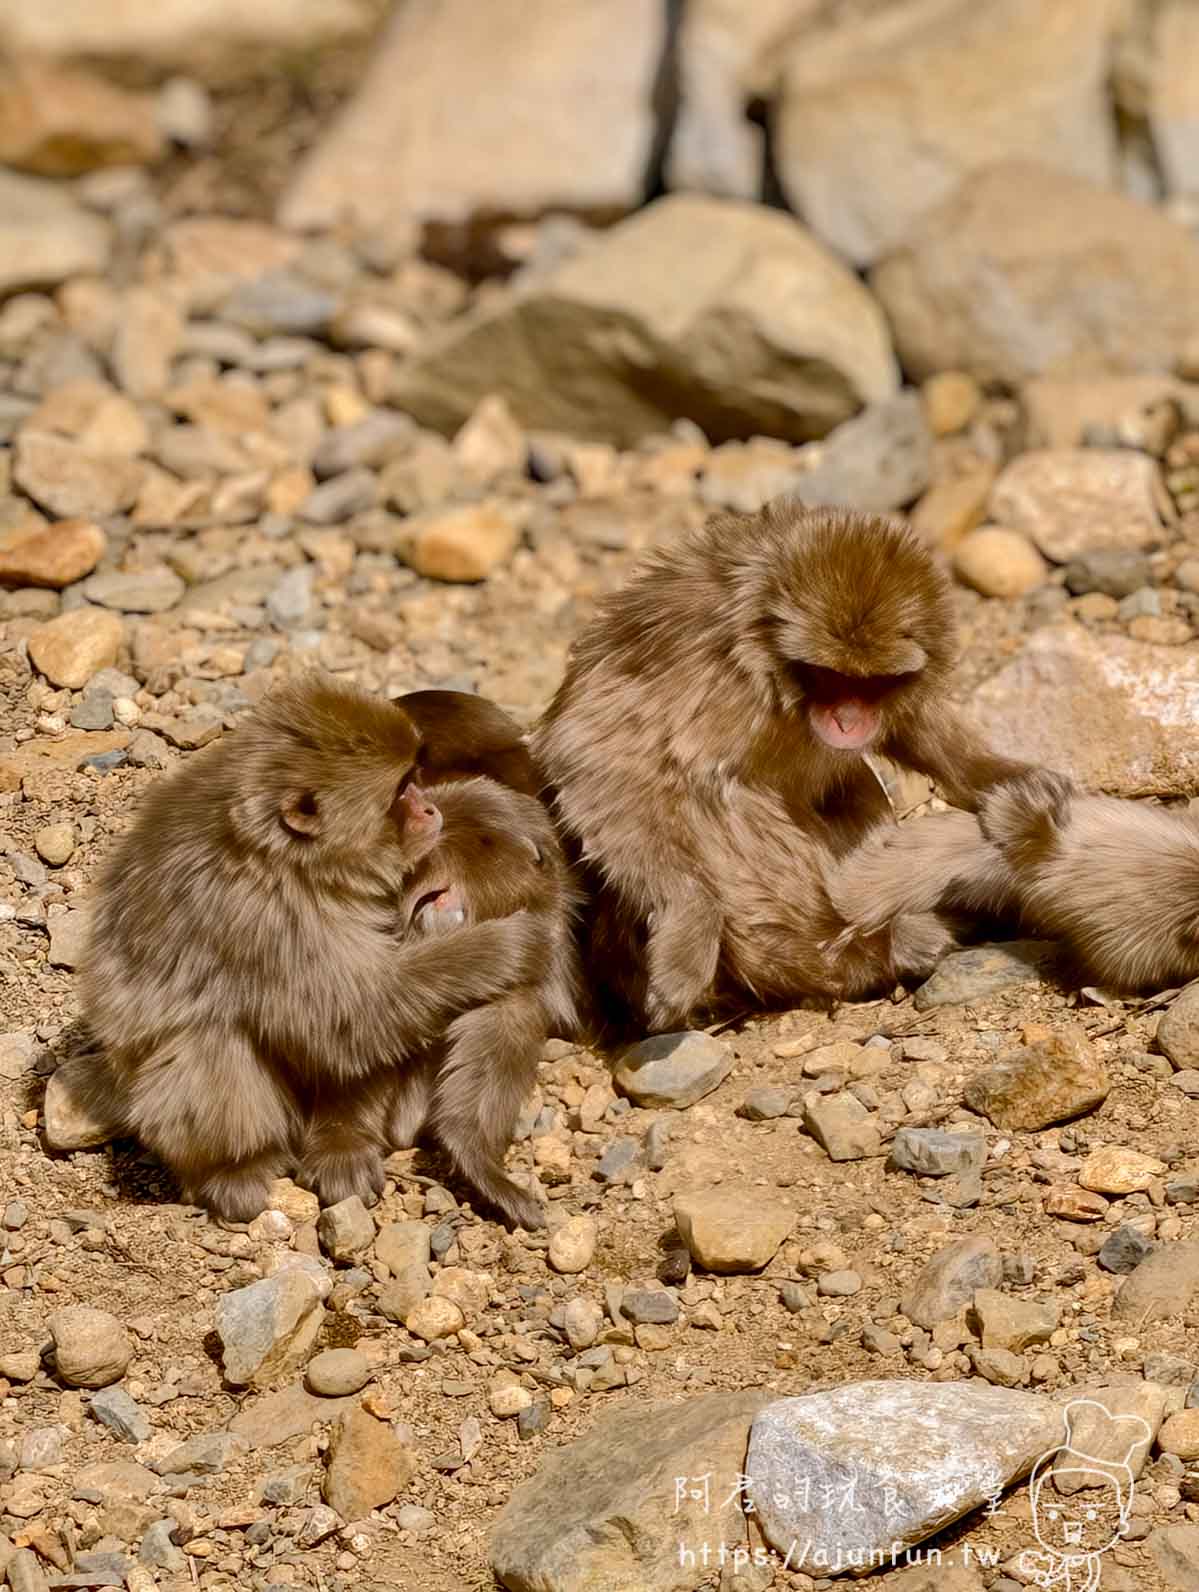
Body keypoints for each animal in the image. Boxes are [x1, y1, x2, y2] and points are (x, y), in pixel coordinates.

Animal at [80, 672, 552, 1222]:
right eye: (401, 791)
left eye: (415, 778)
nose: (431, 808)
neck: (289, 860)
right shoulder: (262, 917)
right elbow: (346, 1017)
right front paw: (507, 945)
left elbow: (355, 1027)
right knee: (212, 1038)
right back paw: (230, 1172)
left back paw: (341, 1143)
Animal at [532, 500, 1043, 1033]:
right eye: (828, 675)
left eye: (872, 683)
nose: (846, 720)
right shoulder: (706, 660)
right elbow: (601, 754)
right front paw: (689, 923)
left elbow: (917, 727)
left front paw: (1002, 776)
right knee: (718, 790)